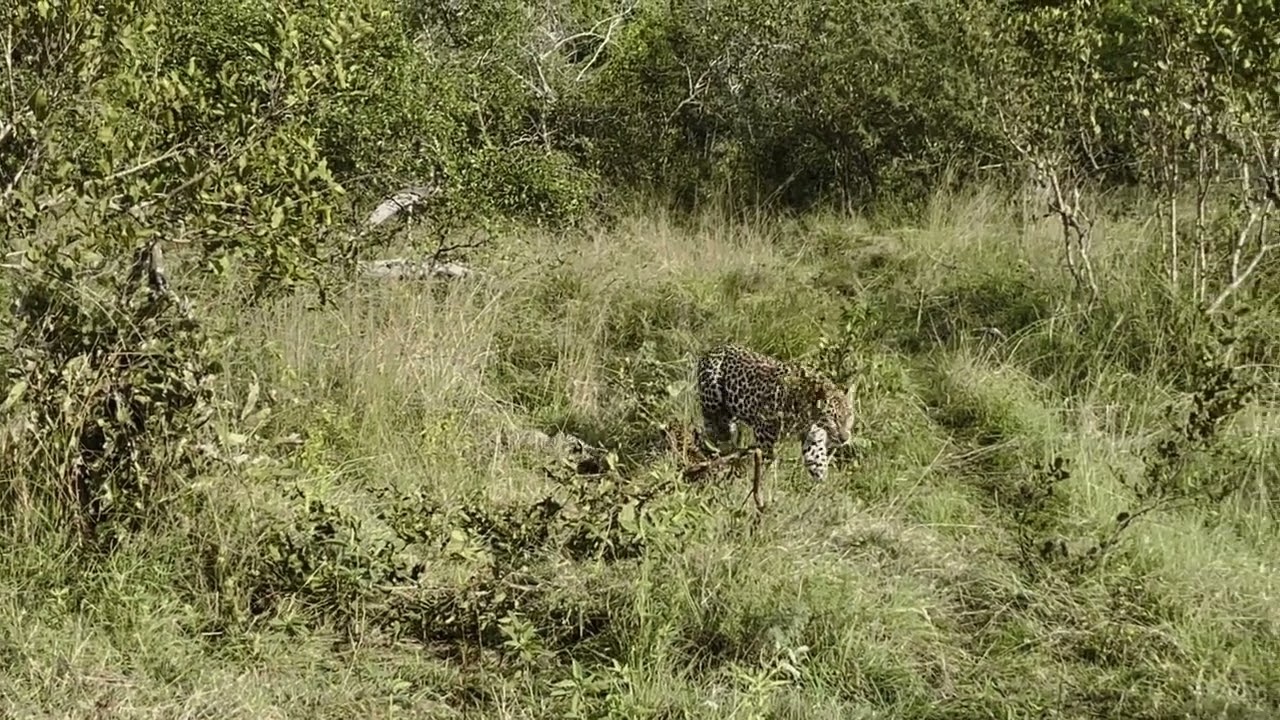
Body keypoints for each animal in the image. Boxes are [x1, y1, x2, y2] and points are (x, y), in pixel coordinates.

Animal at [695, 343, 854, 487]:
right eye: (833, 418)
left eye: (850, 417)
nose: (844, 438)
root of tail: (714, 348)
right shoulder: (764, 432)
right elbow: (767, 460)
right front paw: (766, 481)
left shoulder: (813, 436)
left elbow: (817, 460)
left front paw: (821, 487)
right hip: (712, 401)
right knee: (713, 427)